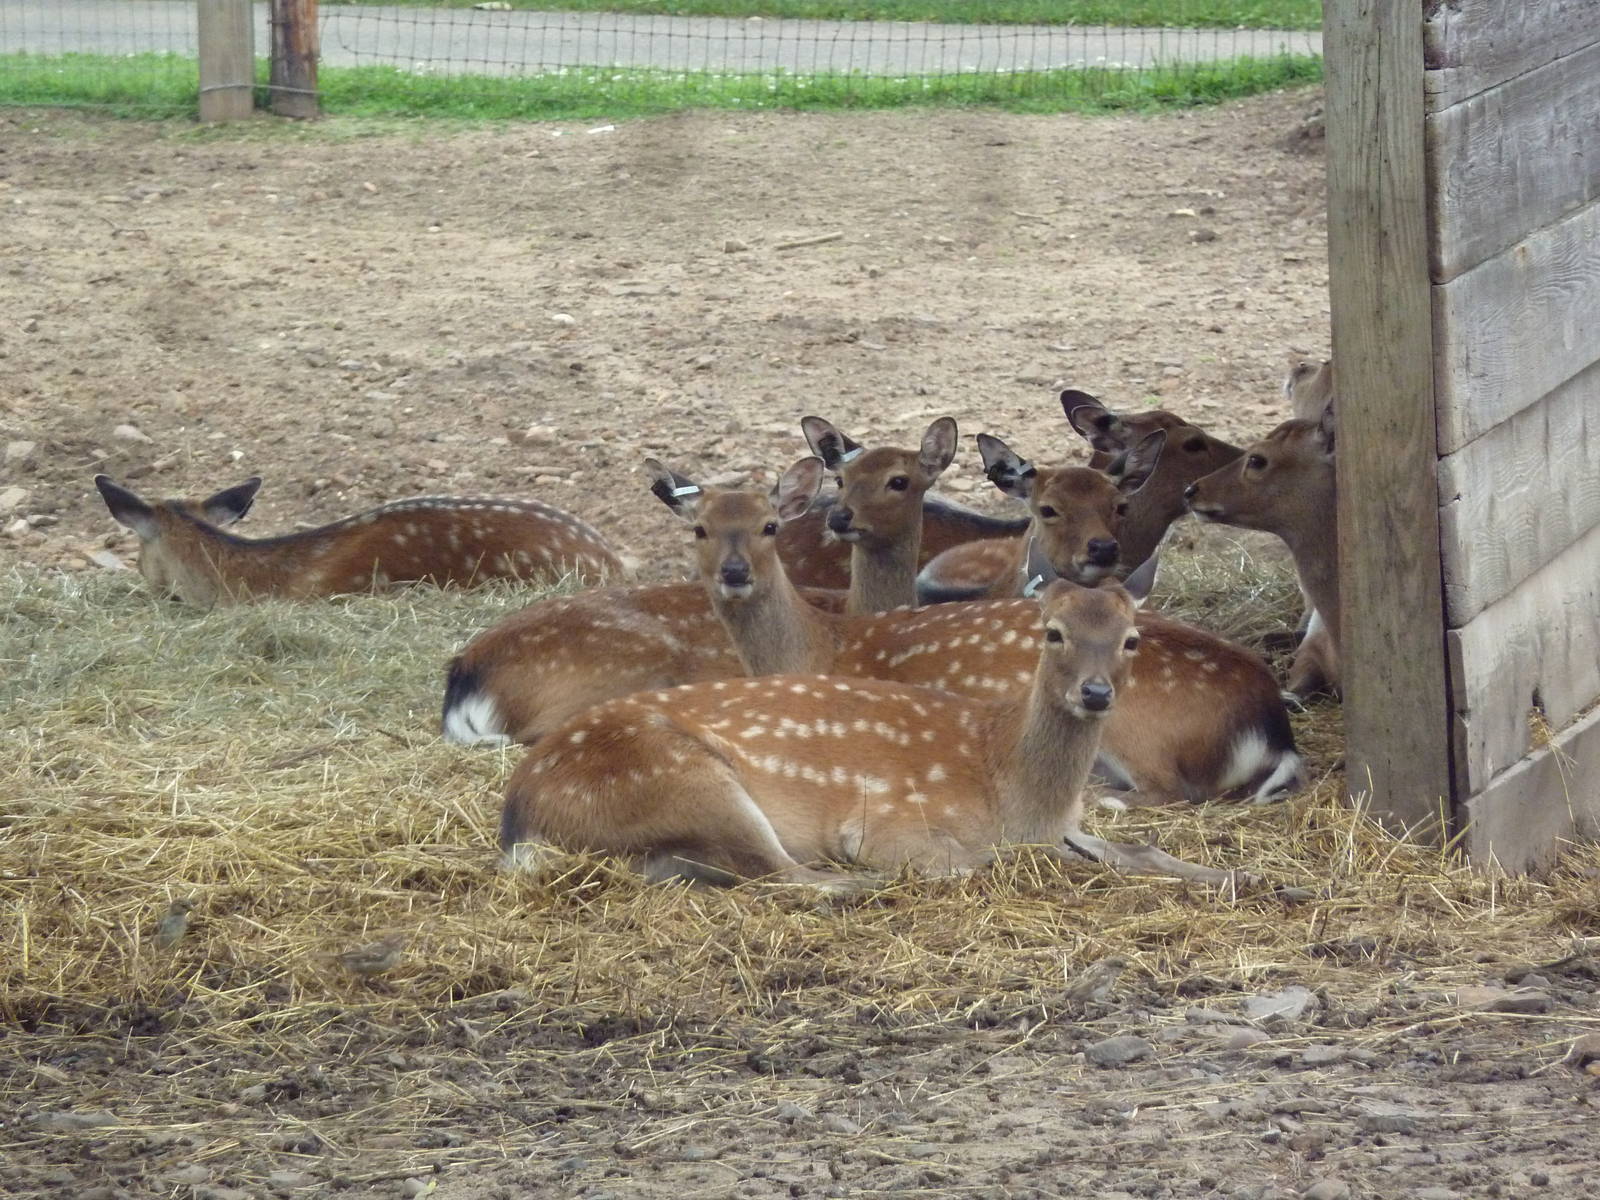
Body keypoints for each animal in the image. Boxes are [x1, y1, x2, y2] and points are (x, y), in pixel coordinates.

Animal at [500, 576, 1264, 892]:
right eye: (1053, 633)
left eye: (1133, 639)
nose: (1096, 692)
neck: (1011, 786)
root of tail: (518, 815)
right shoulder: (895, 819)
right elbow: (970, 861)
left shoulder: (1069, 826)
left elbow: (1142, 850)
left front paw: (1243, 875)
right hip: (682, 777)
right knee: (789, 877)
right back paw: (861, 883)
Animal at [646, 456, 1304, 807]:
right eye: (699, 529)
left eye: (771, 525)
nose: (735, 573)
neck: (821, 647)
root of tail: (1274, 731)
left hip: (1135, 729)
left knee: (1164, 790)